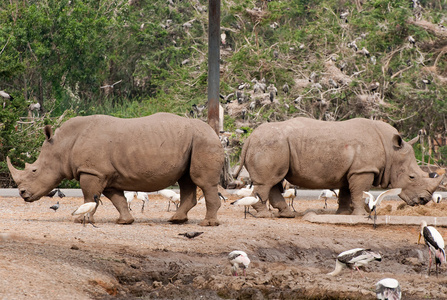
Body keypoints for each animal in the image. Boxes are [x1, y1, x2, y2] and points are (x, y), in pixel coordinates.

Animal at [9, 112, 228, 225]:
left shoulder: (92, 171)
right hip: (194, 141)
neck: (62, 145)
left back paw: (207, 224)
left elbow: (89, 197)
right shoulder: (106, 174)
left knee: (203, 182)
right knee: (186, 181)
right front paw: (125, 221)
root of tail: (214, 132)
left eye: (34, 171)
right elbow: (117, 199)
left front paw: (82, 219)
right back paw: (176, 220)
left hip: (204, 140)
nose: (22, 193)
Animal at [234, 116, 444, 217]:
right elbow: (359, 191)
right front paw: (361, 214)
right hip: (270, 144)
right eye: (412, 177)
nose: (424, 200)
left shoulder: (352, 170)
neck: (391, 151)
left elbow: (346, 192)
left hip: (273, 145)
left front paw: (344, 213)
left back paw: (286, 215)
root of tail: (249, 138)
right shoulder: (363, 169)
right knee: (267, 182)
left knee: (274, 180)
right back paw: (265, 216)